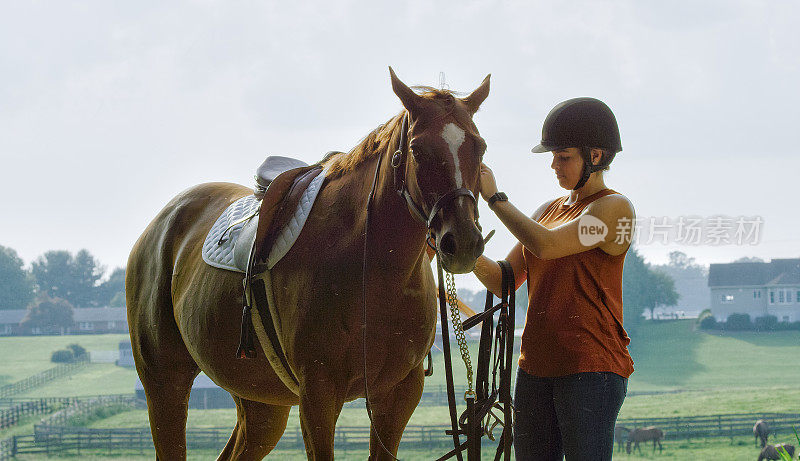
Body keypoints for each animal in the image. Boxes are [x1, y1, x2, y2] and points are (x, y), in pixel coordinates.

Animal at [126, 69, 488, 460]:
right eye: (418, 150)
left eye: (479, 147)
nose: (463, 242)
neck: (372, 270)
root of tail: (160, 225)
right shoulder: (318, 395)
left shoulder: (398, 395)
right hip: (165, 384)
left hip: (261, 405)